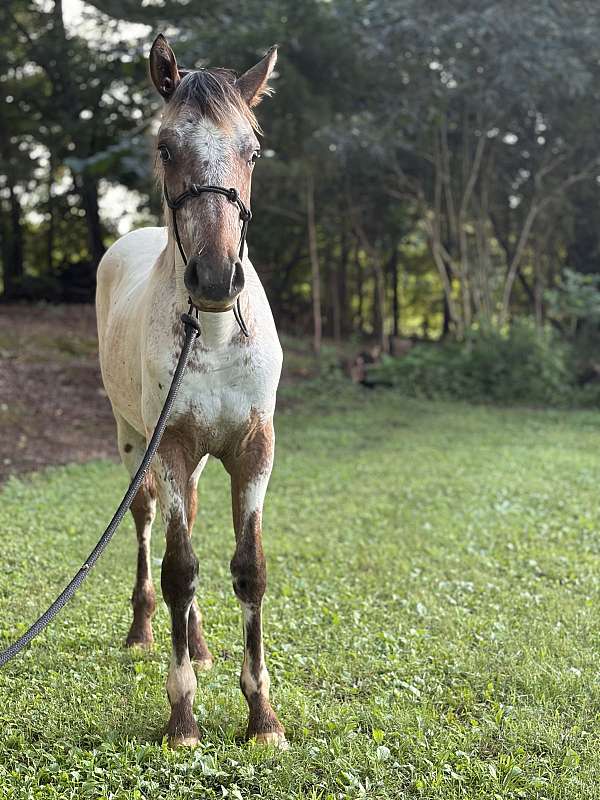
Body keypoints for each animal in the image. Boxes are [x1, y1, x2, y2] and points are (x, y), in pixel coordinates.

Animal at [95, 34, 286, 748]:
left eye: (251, 149)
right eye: (165, 147)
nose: (214, 277)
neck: (214, 333)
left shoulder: (253, 448)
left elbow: (248, 568)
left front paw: (263, 718)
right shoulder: (171, 445)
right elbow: (179, 570)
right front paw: (182, 718)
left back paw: (200, 646)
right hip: (135, 445)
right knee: (151, 528)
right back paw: (144, 632)